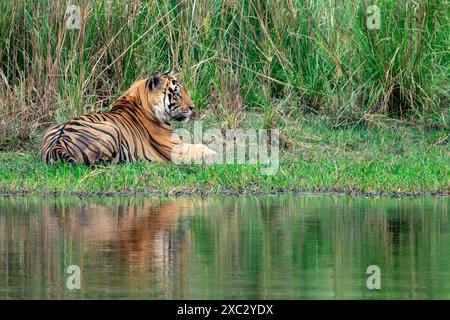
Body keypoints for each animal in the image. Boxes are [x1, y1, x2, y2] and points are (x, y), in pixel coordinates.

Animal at [41, 70, 216, 165]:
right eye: (177, 93)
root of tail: (58, 144)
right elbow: (200, 148)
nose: (192, 107)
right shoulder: (175, 148)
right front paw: (215, 153)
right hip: (112, 130)